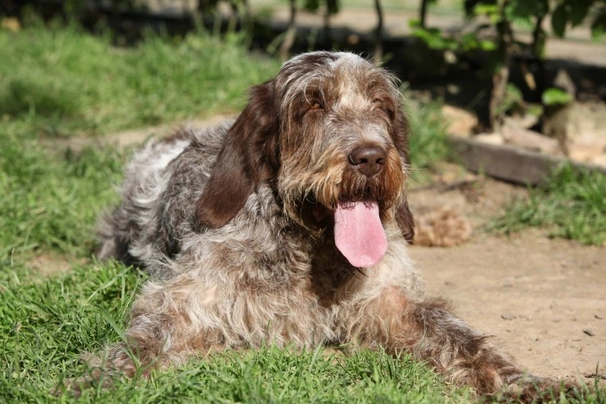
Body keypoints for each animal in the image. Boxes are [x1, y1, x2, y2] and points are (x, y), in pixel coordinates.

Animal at [92, 51, 576, 400]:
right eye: (313, 103)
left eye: (381, 105)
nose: (371, 157)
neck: (312, 246)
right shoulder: (190, 298)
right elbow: (148, 336)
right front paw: (102, 378)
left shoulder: (391, 300)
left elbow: (463, 338)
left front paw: (527, 381)